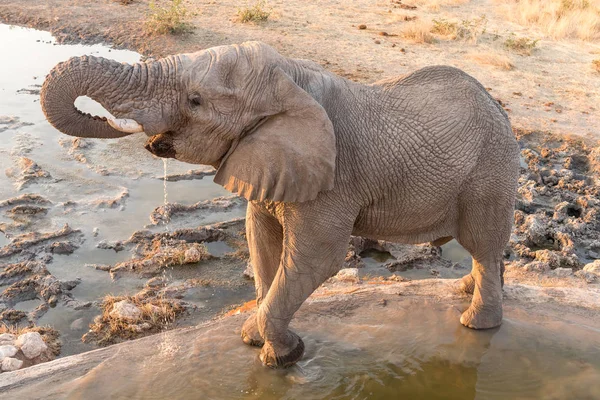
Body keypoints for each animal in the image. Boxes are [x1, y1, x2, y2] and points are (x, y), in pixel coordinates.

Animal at [42, 41, 520, 368]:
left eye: (195, 101)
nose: (108, 120)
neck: (290, 81)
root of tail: (499, 108)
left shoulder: (333, 177)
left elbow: (317, 258)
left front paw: (283, 356)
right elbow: (261, 239)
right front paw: (256, 339)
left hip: (490, 171)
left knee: (483, 242)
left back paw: (477, 323)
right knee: (486, 251)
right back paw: (465, 291)